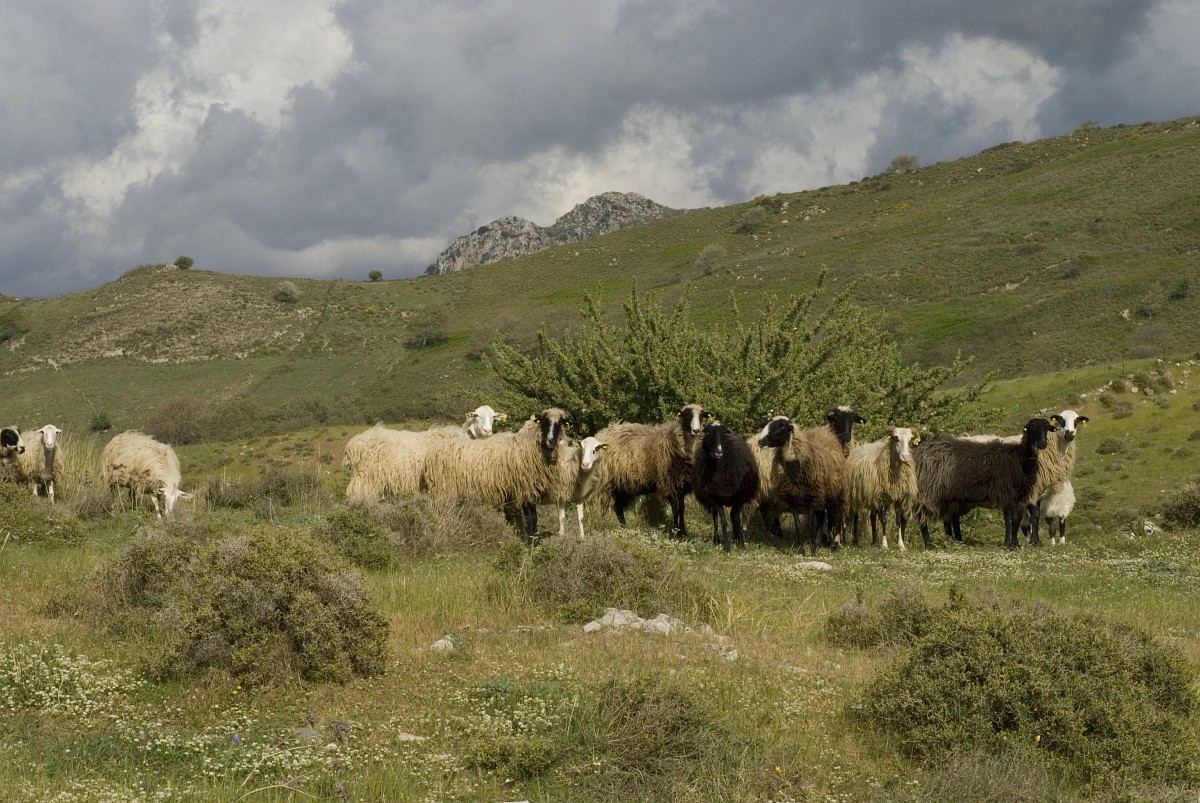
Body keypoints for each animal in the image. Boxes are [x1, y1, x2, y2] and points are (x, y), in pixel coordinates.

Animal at [421, 407, 571, 538]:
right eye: (544, 422)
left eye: (560, 423)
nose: (551, 441)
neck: (528, 446)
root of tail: (432, 451)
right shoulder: (525, 489)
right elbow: (531, 518)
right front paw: (532, 542)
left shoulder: (512, 493)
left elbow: (515, 517)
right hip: (443, 489)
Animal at [593, 403, 707, 538]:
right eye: (686, 415)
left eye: (701, 416)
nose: (696, 431)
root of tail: (602, 433)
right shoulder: (669, 484)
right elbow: (675, 510)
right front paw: (675, 532)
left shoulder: (680, 486)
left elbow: (682, 509)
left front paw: (683, 532)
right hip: (604, 483)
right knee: (600, 506)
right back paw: (600, 524)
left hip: (623, 485)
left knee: (618, 507)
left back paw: (624, 528)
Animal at [693, 421, 760, 551]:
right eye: (709, 433)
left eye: (723, 433)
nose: (718, 451)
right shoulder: (716, 498)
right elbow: (723, 521)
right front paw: (726, 546)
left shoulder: (739, 498)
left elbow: (737, 519)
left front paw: (741, 544)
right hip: (711, 500)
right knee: (715, 518)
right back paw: (716, 540)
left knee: (733, 517)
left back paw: (736, 540)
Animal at [752, 416, 846, 555]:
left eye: (781, 427)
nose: (760, 442)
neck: (795, 468)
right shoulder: (793, 499)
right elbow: (798, 525)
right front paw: (802, 549)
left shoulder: (812, 498)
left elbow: (810, 524)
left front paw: (814, 548)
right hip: (821, 498)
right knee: (822, 517)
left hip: (834, 494)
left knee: (836, 516)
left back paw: (835, 544)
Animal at [913, 417, 1058, 550]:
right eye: (1032, 426)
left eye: (1047, 427)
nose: (1043, 443)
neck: (1020, 458)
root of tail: (922, 450)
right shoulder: (1007, 492)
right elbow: (1013, 519)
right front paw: (1012, 545)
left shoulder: (1013, 495)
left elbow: (1011, 520)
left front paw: (1010, 543)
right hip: (929, 491)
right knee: (922, 515)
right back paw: (929, 544)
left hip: (947, 497)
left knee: (948, 518)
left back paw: (952, 541)